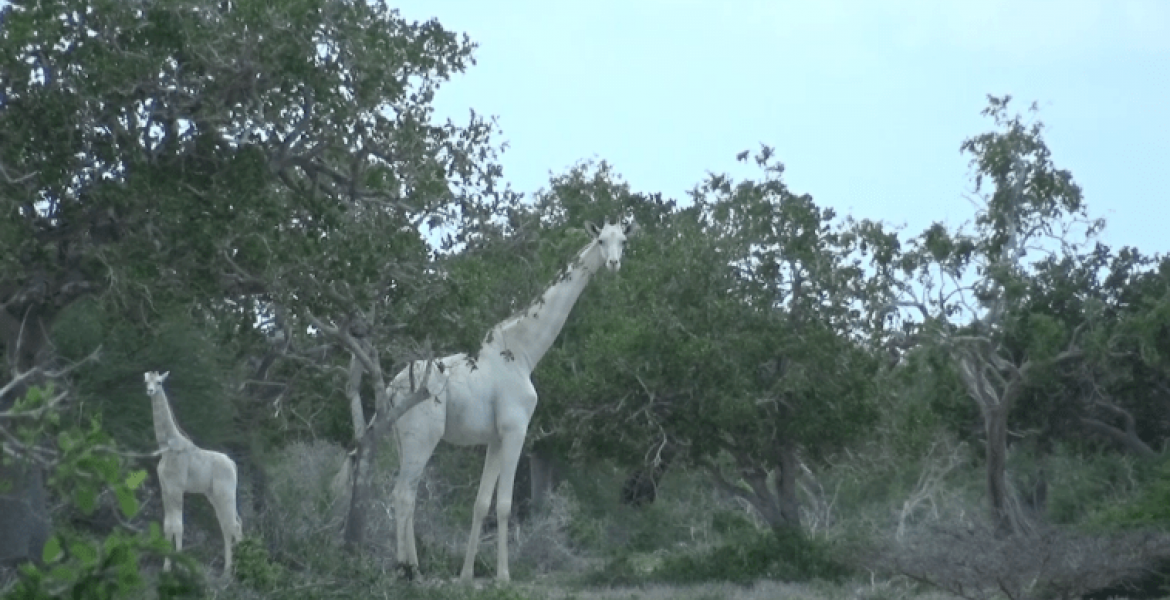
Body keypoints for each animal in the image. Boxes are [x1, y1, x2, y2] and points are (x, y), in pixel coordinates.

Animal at [144, 371, 243, 575]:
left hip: (226, 493)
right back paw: (227, 570)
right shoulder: (165, 489)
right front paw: (166, 567)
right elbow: (168, 526)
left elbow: (178, 526)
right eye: (145, 381)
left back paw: (237, 571)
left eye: (159, 382)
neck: (166, 448)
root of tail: (233, 464)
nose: (150, 391)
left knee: (234, 525)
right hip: (213, 495)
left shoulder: (176, 488)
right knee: (227, 525)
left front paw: (177, 565)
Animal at [389, 215, 638, 583]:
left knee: (407, 493)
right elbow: (505, 505)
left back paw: (410, 567)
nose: (613, 264)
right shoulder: (515, 429)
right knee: (404, 494)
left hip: (404, 441)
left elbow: (481, 504)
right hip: (422, 436)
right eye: (601, 241)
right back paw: (409, 572)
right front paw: (503, 576)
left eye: (623, 240)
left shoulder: (494, 437)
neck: (523, 354)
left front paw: (466, 575)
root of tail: (390, 390)